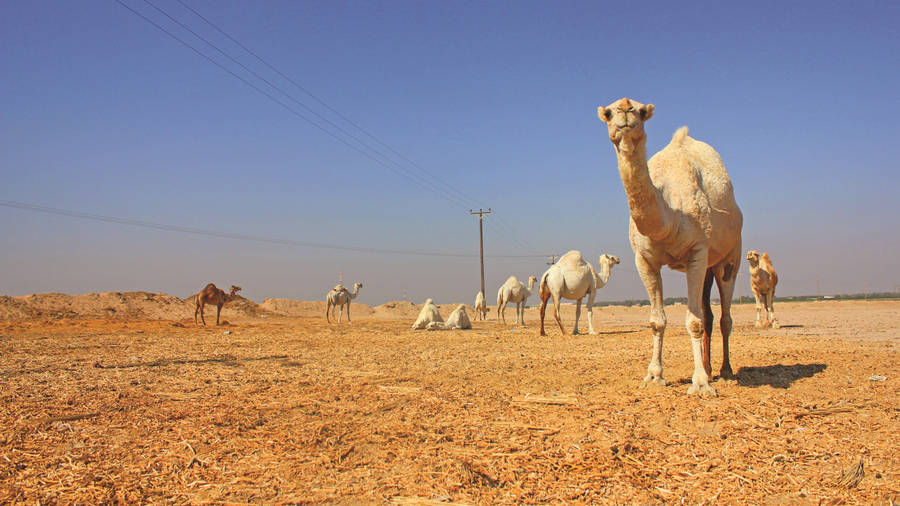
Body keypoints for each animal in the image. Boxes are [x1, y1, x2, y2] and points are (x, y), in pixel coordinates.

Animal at [598, 97, 743, 397]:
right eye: (607, 113)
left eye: (642, 112)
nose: (625, 109)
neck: (670, 216)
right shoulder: (644, 259)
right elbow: (657, 320)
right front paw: (654, 376)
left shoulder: (698, 252)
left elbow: (694, 321)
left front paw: (700, 384)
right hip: (709, 267)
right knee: (709, 313)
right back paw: (710, 368)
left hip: (730, 256)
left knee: (724, 315)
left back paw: (725, 370)